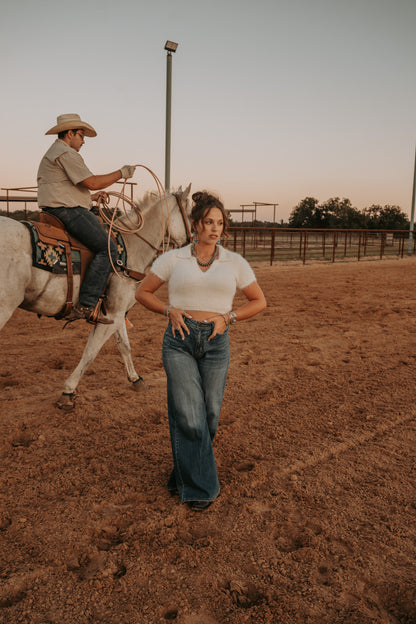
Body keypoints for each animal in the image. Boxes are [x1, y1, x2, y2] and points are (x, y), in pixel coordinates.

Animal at [0, 185, 192, 410]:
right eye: (190, 214)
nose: (193, 244)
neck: (130, 248)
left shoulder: (116, 314)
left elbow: (124, 346)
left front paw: (136, 379)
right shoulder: (111, 316)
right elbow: (90, 352)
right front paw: (68, 392)